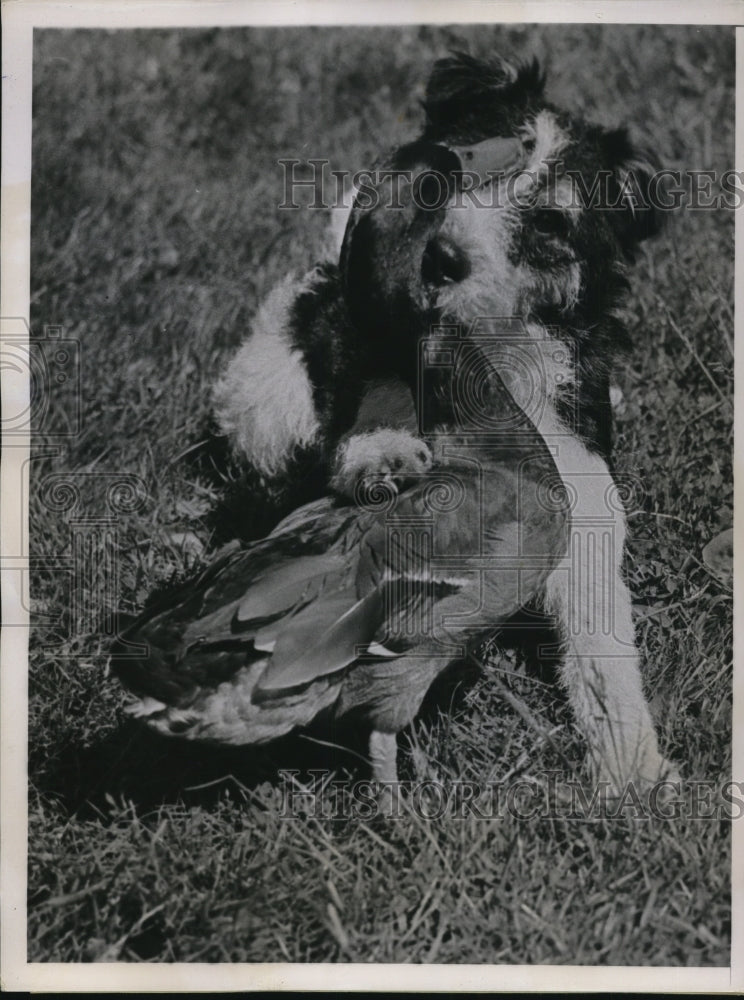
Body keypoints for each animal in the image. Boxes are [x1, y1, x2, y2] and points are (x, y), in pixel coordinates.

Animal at [211, 54, 680, 792]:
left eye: (550, 222)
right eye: (459, 166)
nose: (440, 257)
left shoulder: (574, 471)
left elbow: (598, 621)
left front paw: (631, 764)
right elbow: (382, 387)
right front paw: (383, 453)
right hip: (268, 392)